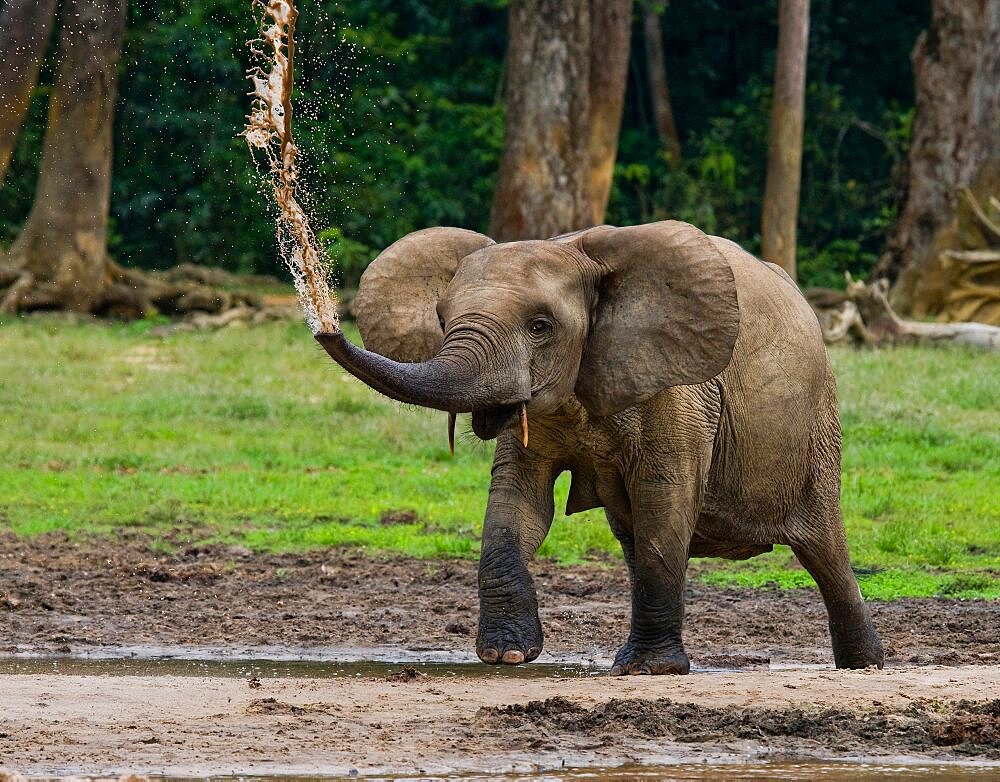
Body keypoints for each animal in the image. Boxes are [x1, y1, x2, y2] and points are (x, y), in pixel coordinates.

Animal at [316, 219, 888, 672]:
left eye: (541, 326)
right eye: (440, 318)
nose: (325, 323)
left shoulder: (678, 388)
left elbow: (665, 495)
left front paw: (650, 672)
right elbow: (517, 503)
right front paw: (507, 656)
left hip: (818, 425)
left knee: (823, 548)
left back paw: (865, 665)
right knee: (632, 535)